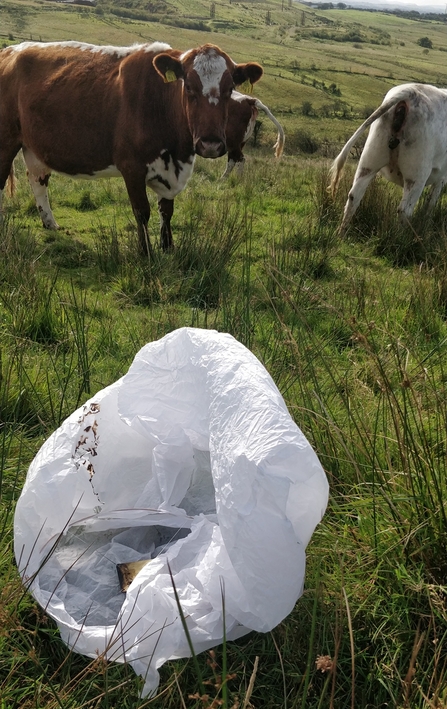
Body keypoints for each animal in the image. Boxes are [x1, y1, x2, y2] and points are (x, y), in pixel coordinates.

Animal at [0, 38, 262, 254]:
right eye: (188, 86)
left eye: (230, 89)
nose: (210, 144)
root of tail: (10, 51)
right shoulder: (132, 167)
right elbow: (142, 211)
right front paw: (145, 252)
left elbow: (166, 209)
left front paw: (168, 247)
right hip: (7, 140)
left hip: (33, 144)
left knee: (38, 180)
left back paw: (49, 222)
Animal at [328, 83, 447, 232]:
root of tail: (410, 91)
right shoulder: (441, 178)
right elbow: (430, 204)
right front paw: (426, 223)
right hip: (417, 174)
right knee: (404, 210)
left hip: (369, 160)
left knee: (354, 196)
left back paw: (341, 233)